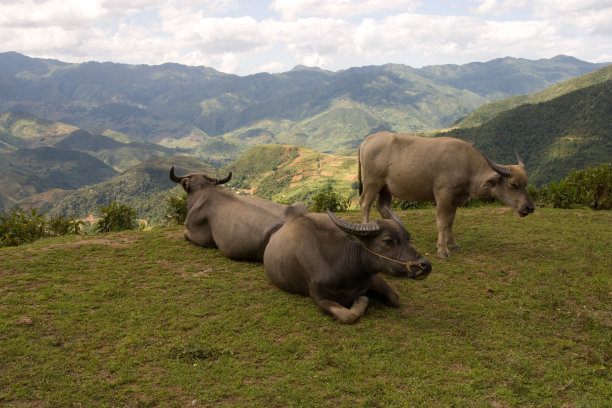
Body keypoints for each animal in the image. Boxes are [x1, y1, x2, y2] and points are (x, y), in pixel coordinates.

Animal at [262, 209, 430, 324]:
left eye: (408, 237)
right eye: (388, 240)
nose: (425, 265)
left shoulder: (373, 278)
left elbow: (395, 298)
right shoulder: (319, 297)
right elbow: (348, 315)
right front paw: (362, 300)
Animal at [358, 131, 536, 258]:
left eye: (525, 183)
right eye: (513, 184)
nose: (530, 207)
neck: (467, 166)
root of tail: (368, 139)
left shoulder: (455, 199)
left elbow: (451, 221)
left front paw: (453, 243)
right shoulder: (443, 195)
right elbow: (442, 222)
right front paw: (442, 249)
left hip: (386, 187)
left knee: (382, 205)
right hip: (373, 182)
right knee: (365, 203)